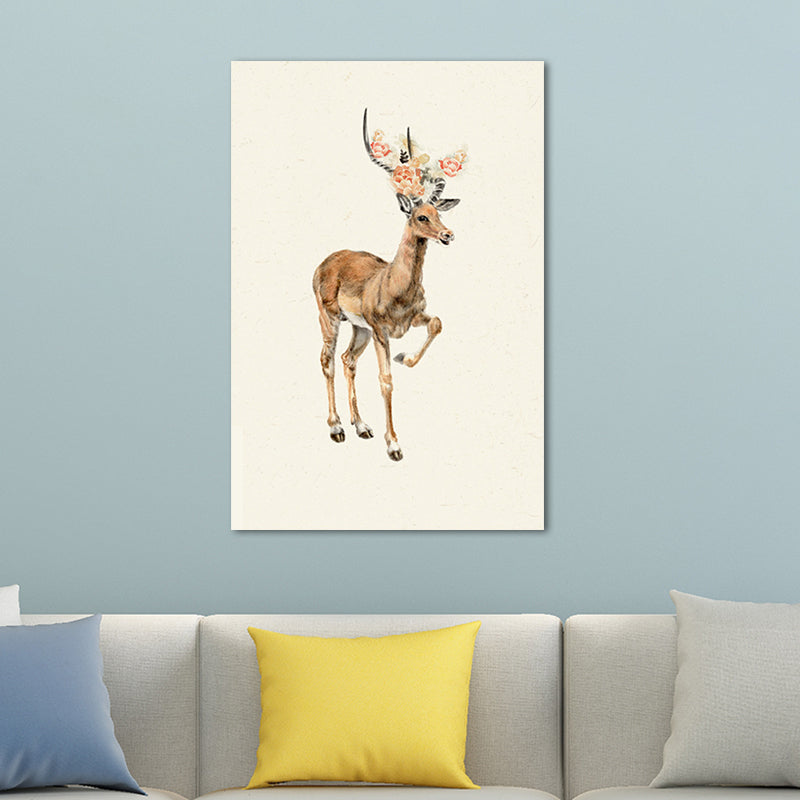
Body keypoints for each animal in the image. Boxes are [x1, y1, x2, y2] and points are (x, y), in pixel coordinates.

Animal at [312, 109, 465, 461]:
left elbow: (437, 324)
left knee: (348, 360)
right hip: (331, 320)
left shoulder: (410, 320)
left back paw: (361, 426)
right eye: (420, 216)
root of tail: (327, 261)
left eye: (438, 212)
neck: (394, 283)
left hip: (359, 330)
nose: (448, 235)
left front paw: (405, 358)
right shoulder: (381, 331)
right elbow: (385, 380)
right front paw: (394, 445)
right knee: (327, 361)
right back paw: (336, 428)